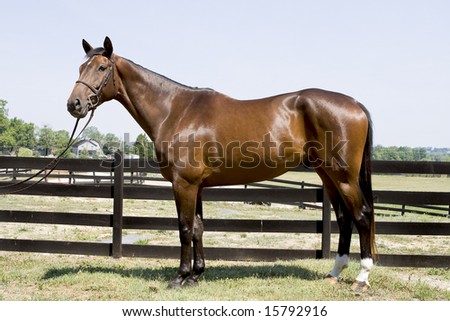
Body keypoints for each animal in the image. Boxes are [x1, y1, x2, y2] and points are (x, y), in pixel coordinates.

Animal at [67, 37, 376, 290]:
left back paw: (361, 278)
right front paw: (196, 275)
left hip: (344, 177)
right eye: (80, 68)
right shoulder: (197, 186)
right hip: (328, 175)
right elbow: (198, 228)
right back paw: (334, 273)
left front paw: (180, 277)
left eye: (101, 67)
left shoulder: (184, 184)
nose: (75, 104)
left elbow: (184, 228)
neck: (176, 111)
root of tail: (355, 103)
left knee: (362, 215)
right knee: (344, 219)